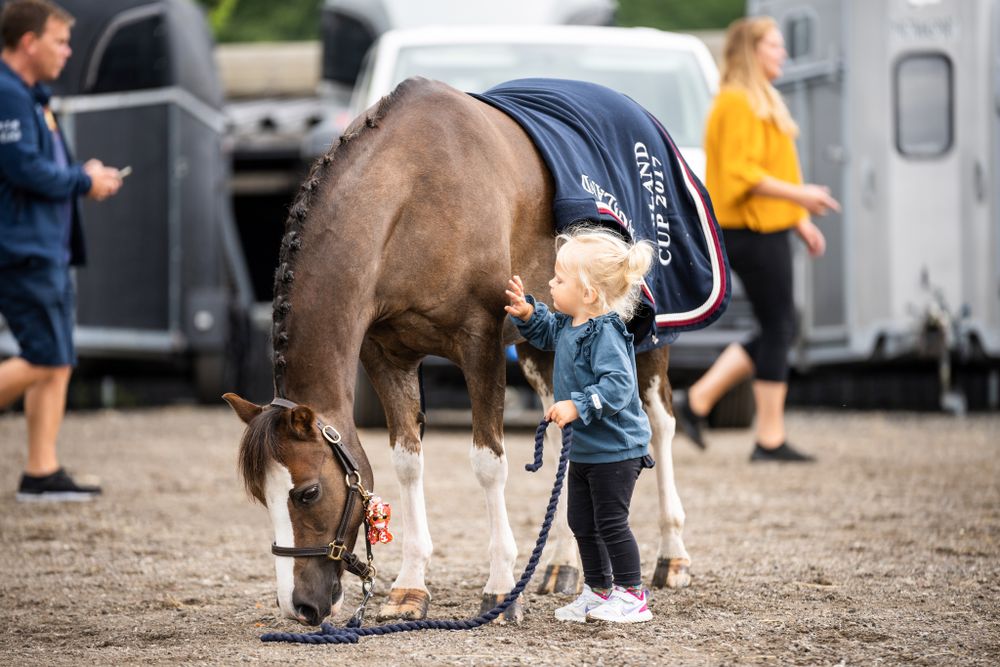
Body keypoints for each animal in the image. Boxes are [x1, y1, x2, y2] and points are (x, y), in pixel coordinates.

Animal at [223, 77, 691, 627]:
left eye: (308, 492)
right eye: (261, 496)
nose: (300, 606)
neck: (412, 196)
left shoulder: (480, 343)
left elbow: (488, 463)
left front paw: (500, 590)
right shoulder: (387, 354)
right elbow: (407, 461)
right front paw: (409, 588)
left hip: (647, 337)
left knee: (660, 425)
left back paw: (672, 557)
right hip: (543, 351)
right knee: (565, 438)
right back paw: (561, 565)